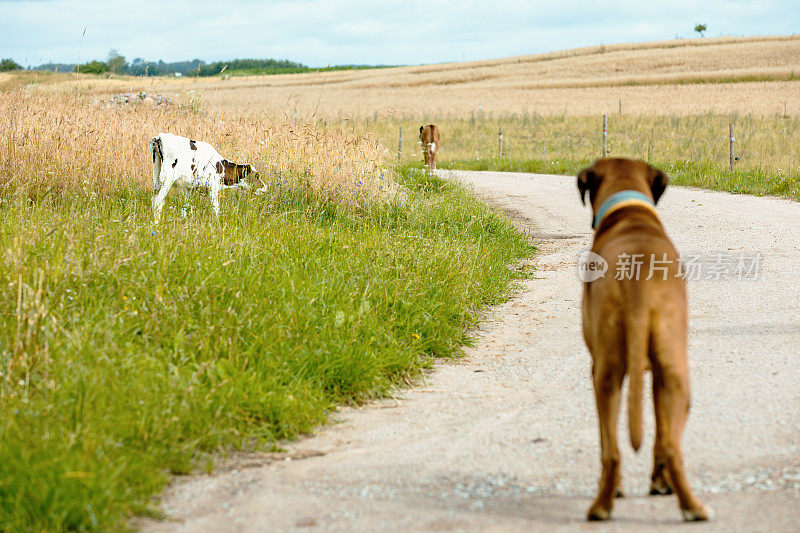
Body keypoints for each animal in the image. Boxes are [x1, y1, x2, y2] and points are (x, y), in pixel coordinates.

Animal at [580, 160, 708, 520]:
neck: (629, 212)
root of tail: (638, 285)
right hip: (673, 374)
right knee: (668, 444)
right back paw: (691, 506)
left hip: (606, 373)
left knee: (612, 450)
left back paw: (604, 503)